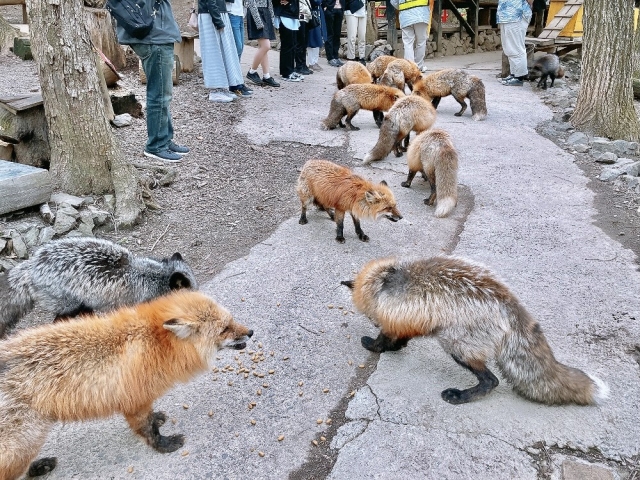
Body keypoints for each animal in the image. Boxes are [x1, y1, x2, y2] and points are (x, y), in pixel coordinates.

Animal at [0, 288, 255, 480]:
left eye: (231, 320)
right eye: (224, 329)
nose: (251, 332)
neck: (155, 343)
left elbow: (152, 419)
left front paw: (158, 419)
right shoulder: (135, 402)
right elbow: (148, 430)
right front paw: (164, 445)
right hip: (24, 444)